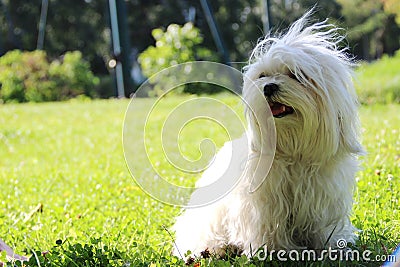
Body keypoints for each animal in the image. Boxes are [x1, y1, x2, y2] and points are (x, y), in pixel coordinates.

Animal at [172, 11, 362, 258]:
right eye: (263, 75)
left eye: (296, 75)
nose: (269, 87)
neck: (293, 151)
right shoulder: (263, 201)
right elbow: (268, 224)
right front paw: (272, 250)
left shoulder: (324, 194)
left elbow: (323, 225)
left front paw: (332, 246)